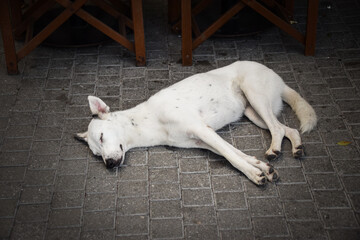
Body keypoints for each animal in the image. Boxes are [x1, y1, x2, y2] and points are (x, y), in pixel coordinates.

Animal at [75, 61, 316, 185]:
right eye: (96, 154)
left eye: (102, 137)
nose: (109, 164)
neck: (150, 121)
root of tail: (278, 78)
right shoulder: (201, 140)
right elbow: (234, 153)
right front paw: (260, 167)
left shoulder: (203, 130)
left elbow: (231, 156)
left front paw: (254, 174)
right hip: (253, 113)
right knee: (287, 128)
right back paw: (293, 147)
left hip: (255, 96)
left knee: (277, 127)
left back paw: (275, 148)